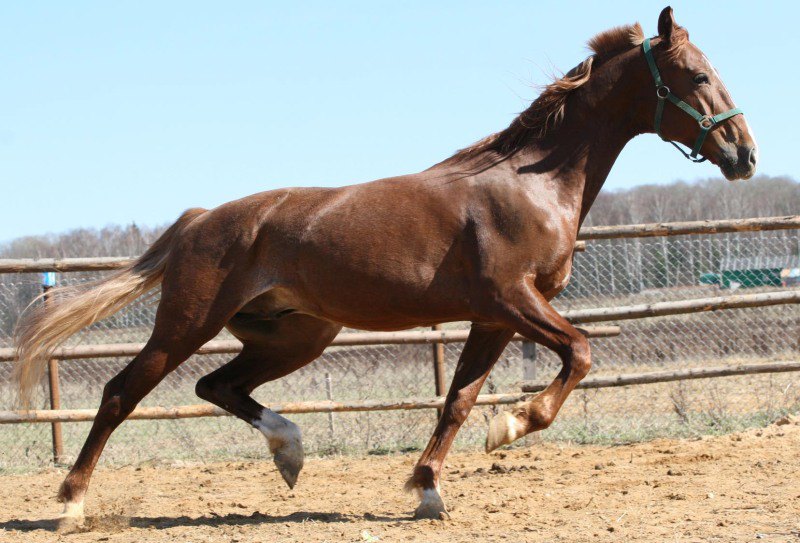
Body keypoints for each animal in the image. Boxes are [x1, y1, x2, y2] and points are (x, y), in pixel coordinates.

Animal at [15, 6, 760, 528]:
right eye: (697, 76)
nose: (744, 155)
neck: (532, 184)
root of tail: (198, 219)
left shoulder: (493, 318)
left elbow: (457, 400)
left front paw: (429, 490)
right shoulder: (513, 300)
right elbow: (578, 353)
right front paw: (509, 428)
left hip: (297, 335)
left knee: (217, 386)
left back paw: (290, 452)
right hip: (187, 323)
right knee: (121, 392)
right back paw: (71, 505)